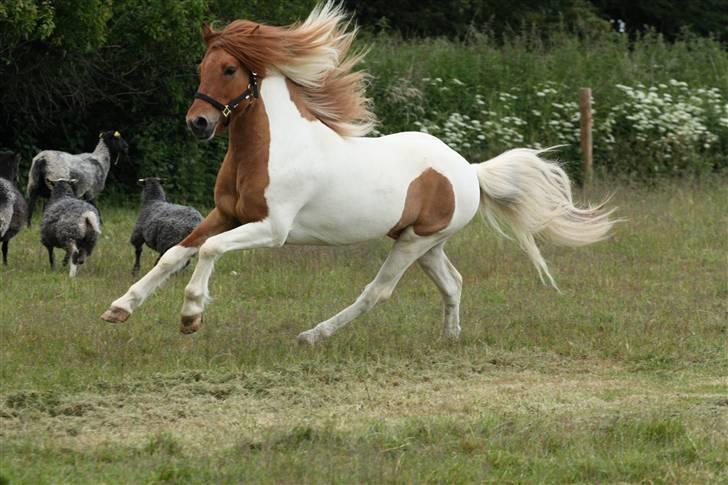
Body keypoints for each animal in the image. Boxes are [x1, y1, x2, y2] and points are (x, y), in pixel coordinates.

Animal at [102, 3, 616, 344]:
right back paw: (449, 338)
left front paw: (191, 315)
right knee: (452, 282)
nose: (198, 124)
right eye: (201, 65)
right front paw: (119, 308)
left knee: (378, 292)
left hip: (414, 243)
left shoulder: (271, 228)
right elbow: (174, 255)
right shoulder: (225, 214)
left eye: (229, 69)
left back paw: (313, 335)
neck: (270, 150)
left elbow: (207, 250)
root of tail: (467, 171)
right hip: (424, 242)